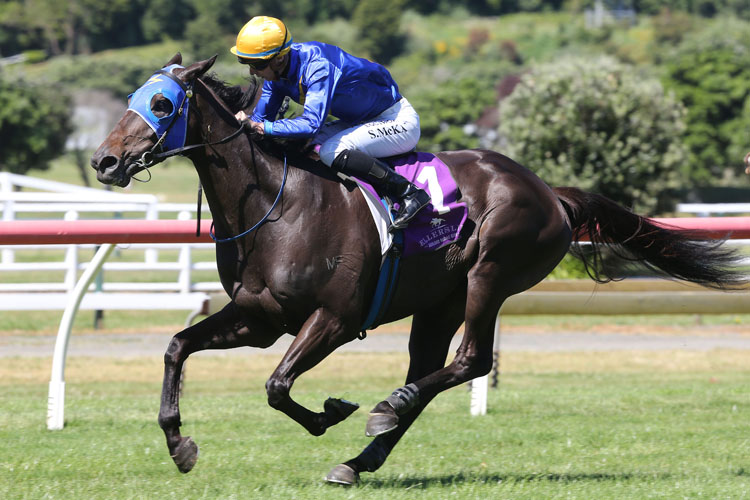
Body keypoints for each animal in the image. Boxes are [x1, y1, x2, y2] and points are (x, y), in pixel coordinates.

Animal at [91, 55, 748, 484]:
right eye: (130, 98)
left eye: (161, 103)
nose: (104, 161)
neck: (275, 204)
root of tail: (549, 192)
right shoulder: (259, 318)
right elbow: (178, 347)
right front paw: (180, 445)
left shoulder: (334, 317)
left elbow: (278, 386)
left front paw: (331, 413)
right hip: (438, 303)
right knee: (429, 369)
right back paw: (362, 456)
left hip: (490, 274)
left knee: (469, 361)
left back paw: (385, 409)